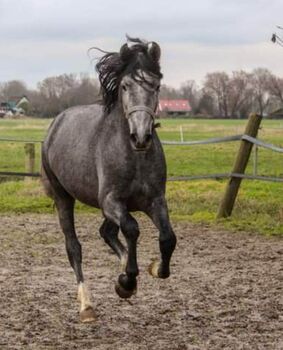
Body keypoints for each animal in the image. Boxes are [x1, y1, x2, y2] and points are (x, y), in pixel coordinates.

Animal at [42, 37, 176, 322]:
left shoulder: (155, 200)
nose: (141, 137)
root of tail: (57, 122)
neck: (134, 156)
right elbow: (132, 229)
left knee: (107, 232)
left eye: (156, 86)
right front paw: (127, 282)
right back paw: (87, 305)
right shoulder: (111, 202)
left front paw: (153, 269)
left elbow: (168, 238)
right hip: (63, 197)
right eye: (125, 86)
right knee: (74, 247)